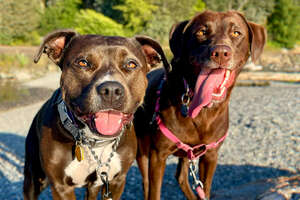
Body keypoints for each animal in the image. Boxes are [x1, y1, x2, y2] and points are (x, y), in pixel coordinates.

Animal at [23, 29, 169, 200]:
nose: (111, 90)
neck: (96, 142)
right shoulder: (61, 187)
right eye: (83, 63)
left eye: (131, 64)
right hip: (33, 179)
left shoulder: (115, 181)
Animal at [135, 10, 266, 199]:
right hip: (143, 148)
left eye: (236, 33)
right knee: (146, 182)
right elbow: (154, 191)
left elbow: (205, 188)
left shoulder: (210, 155)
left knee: (181, 177)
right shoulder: (158, 155)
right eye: (202, 32)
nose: (221, 53)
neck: (203, 111)